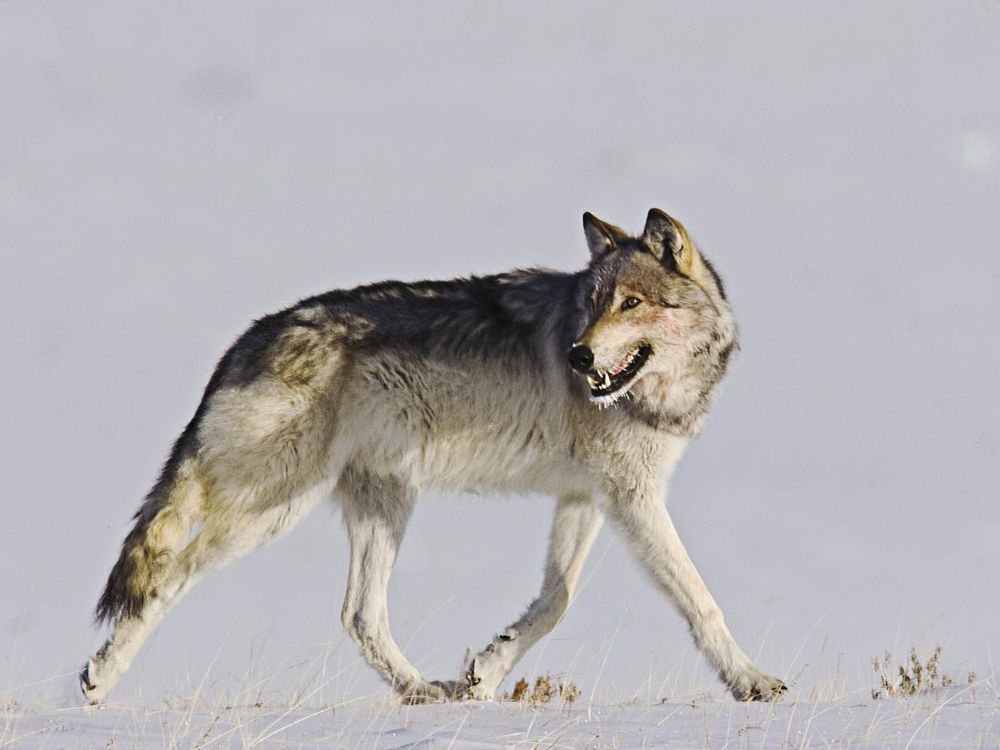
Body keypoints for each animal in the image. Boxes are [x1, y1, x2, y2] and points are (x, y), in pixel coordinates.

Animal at [82, 210, 784, 704]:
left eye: (631, 303)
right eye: (591, 305)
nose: (578, 355)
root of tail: (248, 339)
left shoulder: (588, 496)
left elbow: (554, 601)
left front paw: (486, 672)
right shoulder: (632, 498)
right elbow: (700, 600)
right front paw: (751, 681)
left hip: (383, 505)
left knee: (359, 614)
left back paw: (420, 690)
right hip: (270, 511)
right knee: (169, 574)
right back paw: (100, 677)